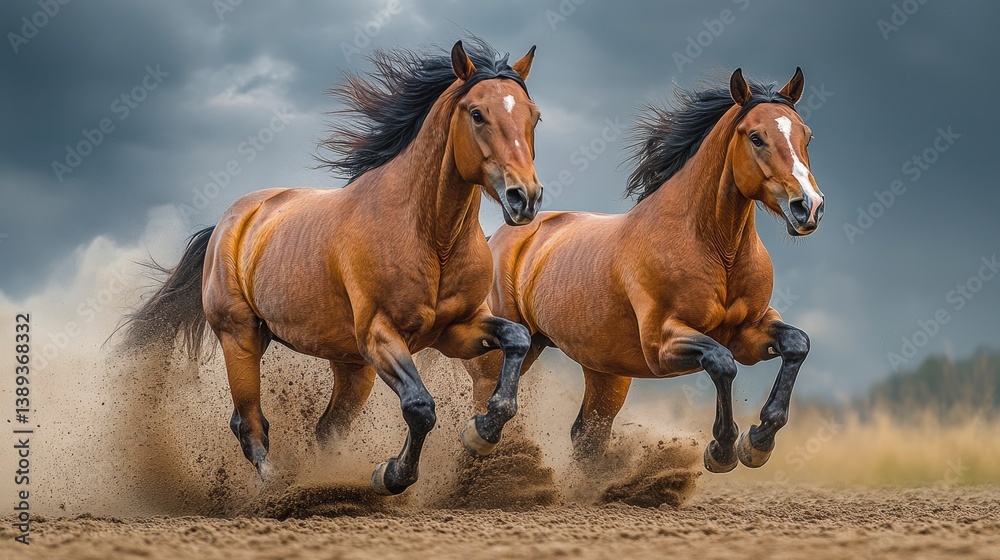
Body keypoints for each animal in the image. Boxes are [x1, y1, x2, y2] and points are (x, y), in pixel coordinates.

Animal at [123, 38, 544, 495]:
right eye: (477, 114)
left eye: (534, 116)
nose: (525, 197)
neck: (433, 238)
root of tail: (228, 221)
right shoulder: (380, 336)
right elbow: (420, 407)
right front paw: (391, 475)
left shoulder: (457, 330)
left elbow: (517, 339)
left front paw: (480, 433)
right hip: (241, 337)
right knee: (249, 424)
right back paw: (277, 488)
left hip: (348, 364)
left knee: (325, 429)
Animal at [463, 68, 825, 474]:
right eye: (757, 137)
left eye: (806, 135)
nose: (808, 207)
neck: (719, 251)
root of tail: (498, 237)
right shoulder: (662, 344)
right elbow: (722, 363)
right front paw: (722, 449)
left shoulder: (750, 332)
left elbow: (796, 343)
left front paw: (758, 442)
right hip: (498, 358)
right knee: (482, 409)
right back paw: (477, 446)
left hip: (606, 373)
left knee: (586, 436)